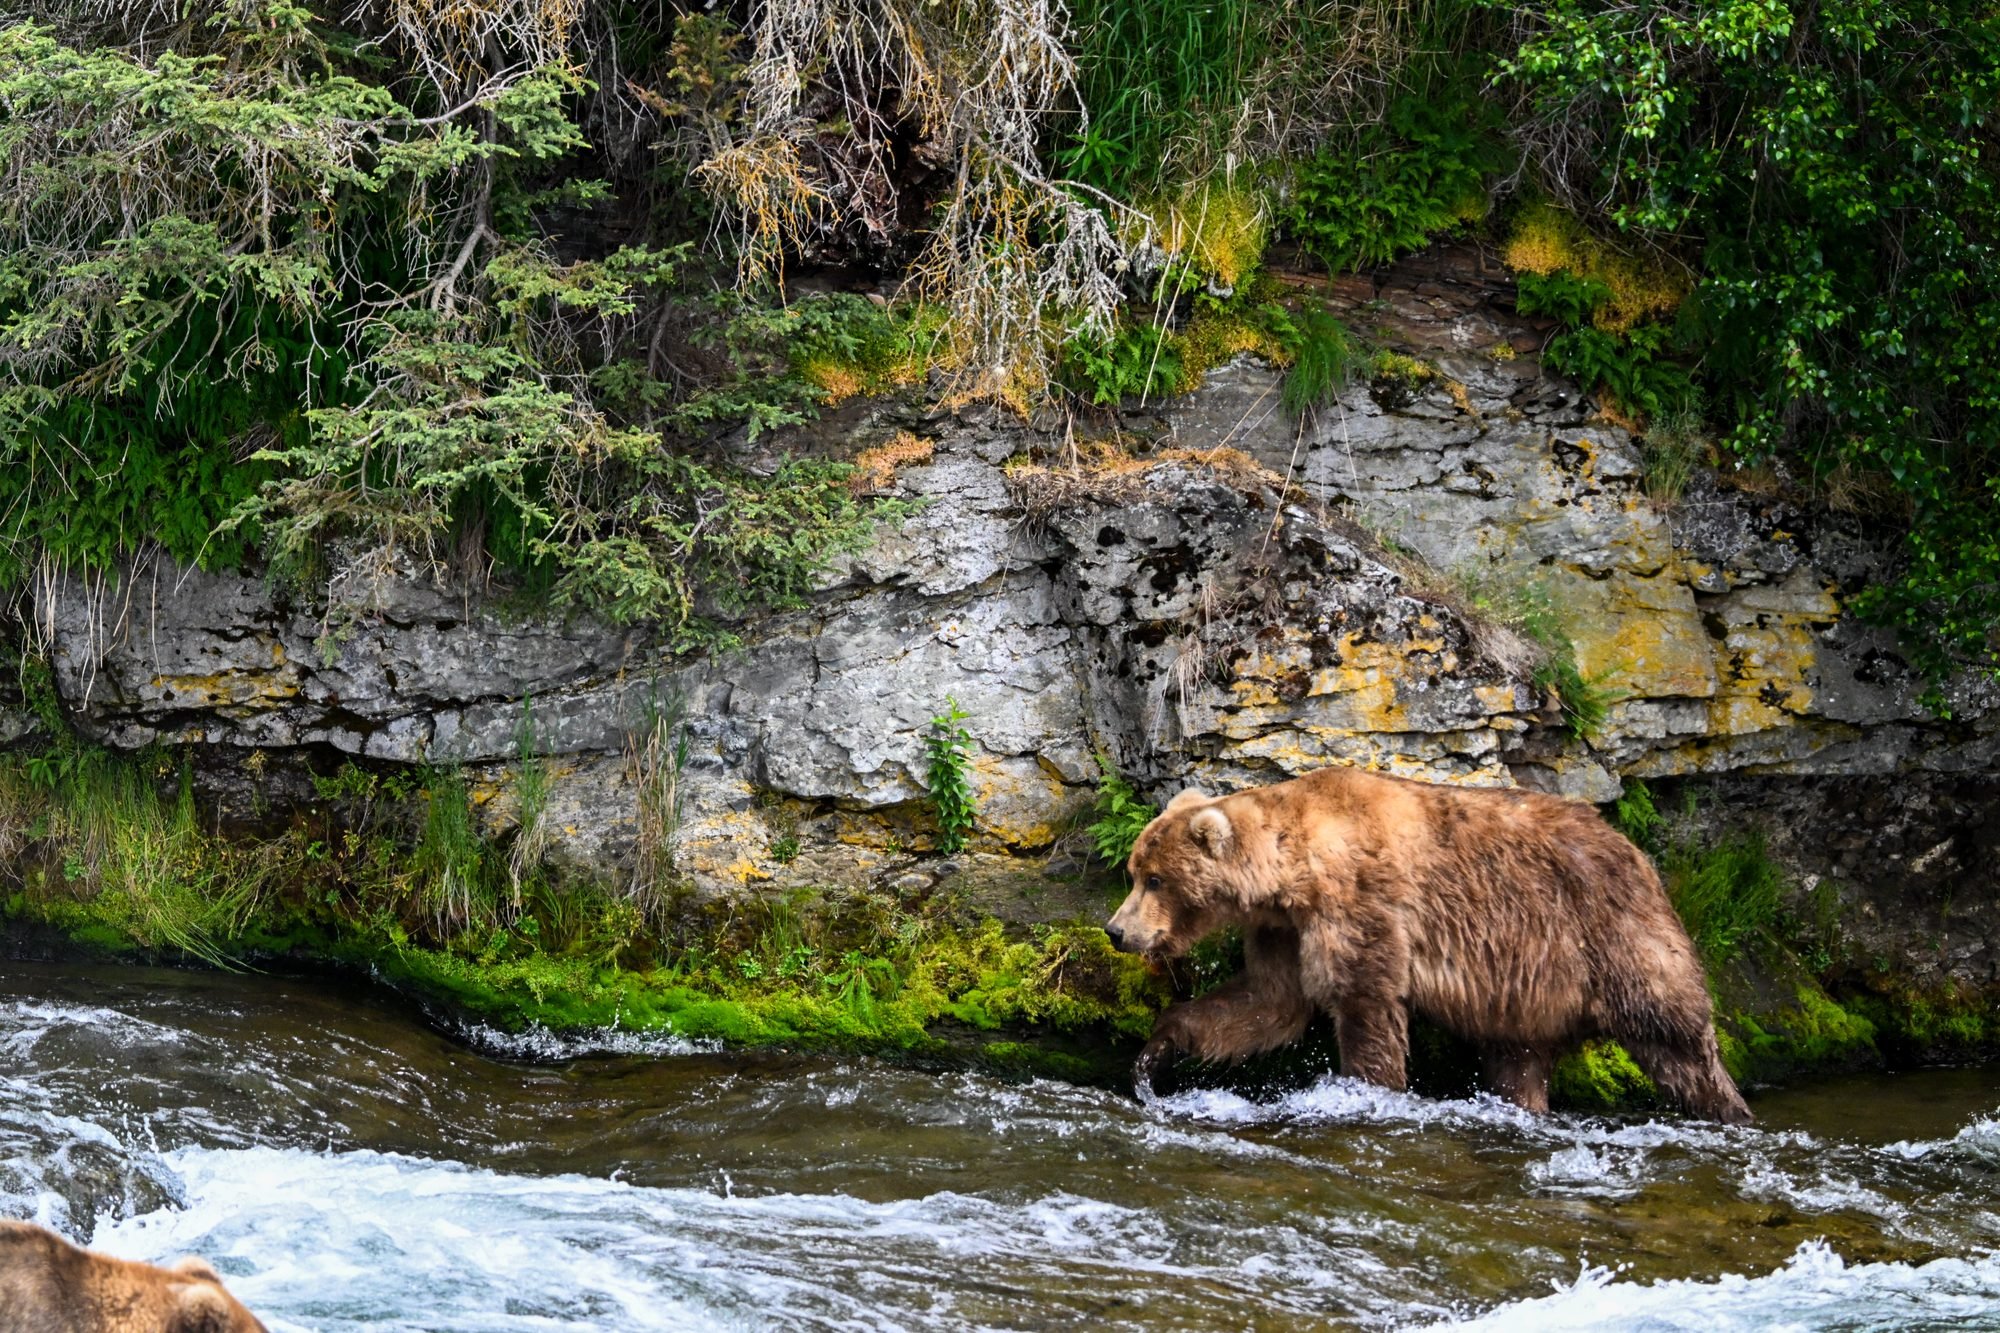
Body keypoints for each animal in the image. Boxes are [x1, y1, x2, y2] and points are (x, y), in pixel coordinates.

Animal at [1106, 766, 1752, 1123]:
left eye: (1154, 879)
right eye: (1135, 871)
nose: (1117, 930)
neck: (1297, 871)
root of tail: (1638, 851)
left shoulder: (1362, 907)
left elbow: (1363, 1005)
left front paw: (1367, 1089)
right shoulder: (1282, 929)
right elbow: (1268, 1002)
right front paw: (1155, 1051)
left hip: (1613, 934)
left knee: (1676, 1033)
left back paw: (1730, 1109)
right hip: (1525, 994)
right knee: (1517, 1063)